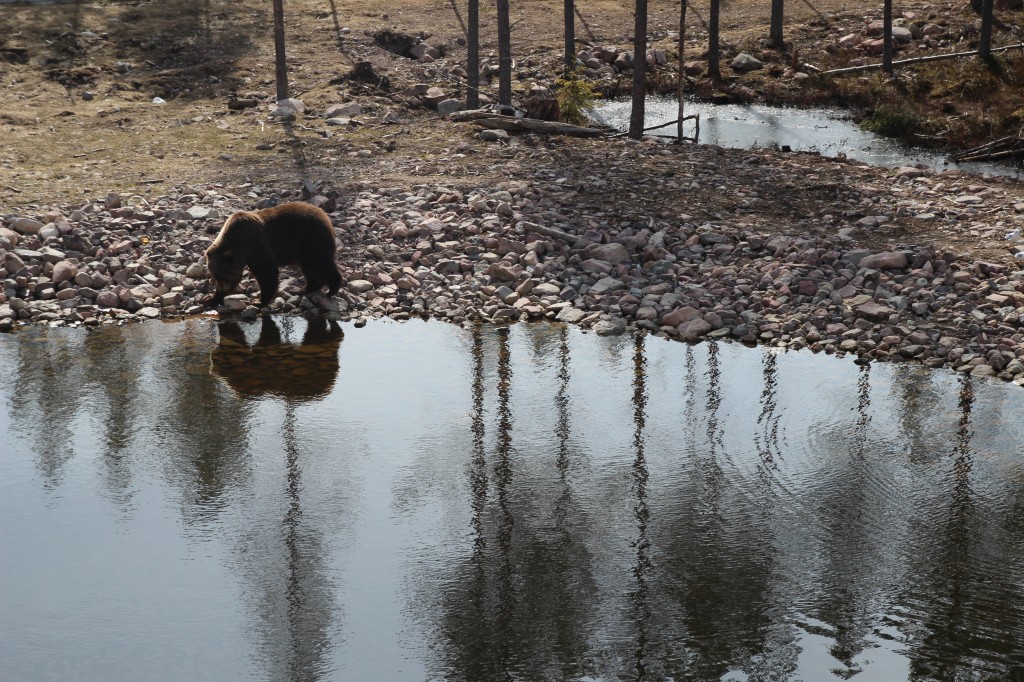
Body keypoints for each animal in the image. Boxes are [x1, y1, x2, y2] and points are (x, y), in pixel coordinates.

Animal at [203, 201, 344, 305]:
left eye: (224, 275)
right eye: (215, 275)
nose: (223, 288)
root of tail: (325, 216)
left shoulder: (255, 245)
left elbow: (267, 271)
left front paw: (259, 301)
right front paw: (211, 298)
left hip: (312, 239)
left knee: (319, 264)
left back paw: (331, 289)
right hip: (305, 248)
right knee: (308, 268)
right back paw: (305, 289)